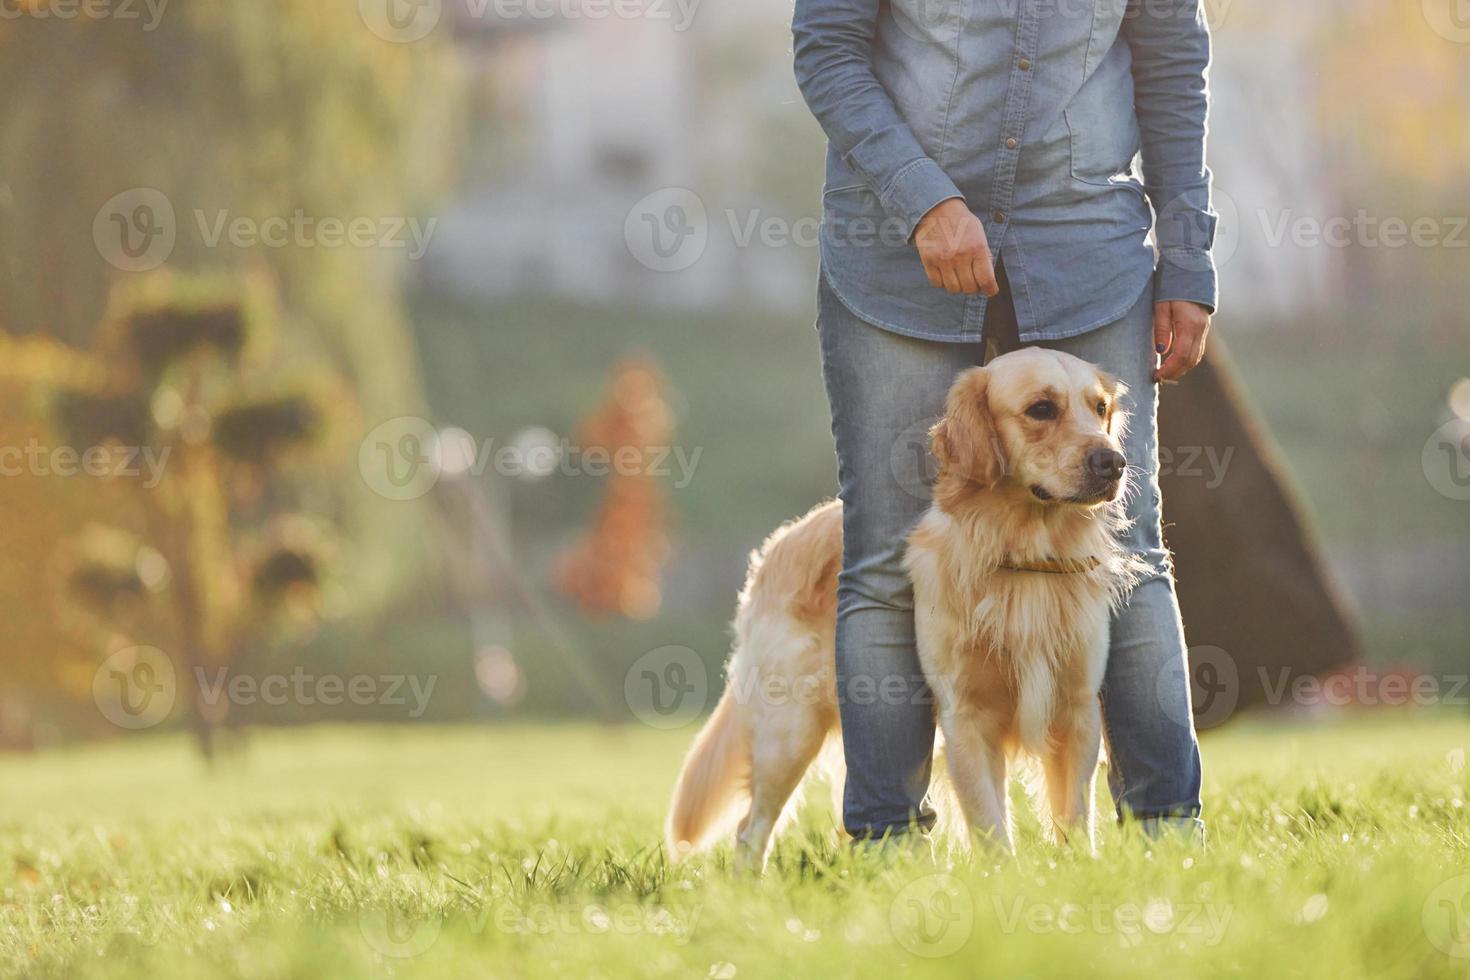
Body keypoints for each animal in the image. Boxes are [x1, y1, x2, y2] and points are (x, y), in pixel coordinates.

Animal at [670, 348, 1146, 869]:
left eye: (1099, 408)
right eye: (1041, 409)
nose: (1114, 462)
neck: (1022, 558)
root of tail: (782, 540)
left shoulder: (1077, 710)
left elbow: (1076, 822)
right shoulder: (967, 719)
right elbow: (992, 828)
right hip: (790, 729)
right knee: (750, 830)